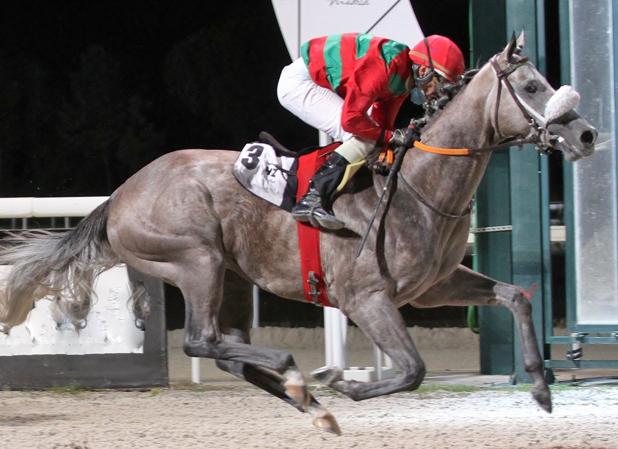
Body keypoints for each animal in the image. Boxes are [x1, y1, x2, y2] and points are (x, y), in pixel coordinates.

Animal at [1, 33, 596, 432]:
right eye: (530, 85)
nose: (586, 134)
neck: (419, 185)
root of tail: (120, 196)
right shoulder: (365, 297)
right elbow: (413, 369)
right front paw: (345, 382)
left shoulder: (435, 287)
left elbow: (516, 296)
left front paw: (541, 389)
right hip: (195, 260)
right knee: (200, 339)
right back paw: (298, 375)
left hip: (232, 276)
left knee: (225, 349)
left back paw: (306, 400)